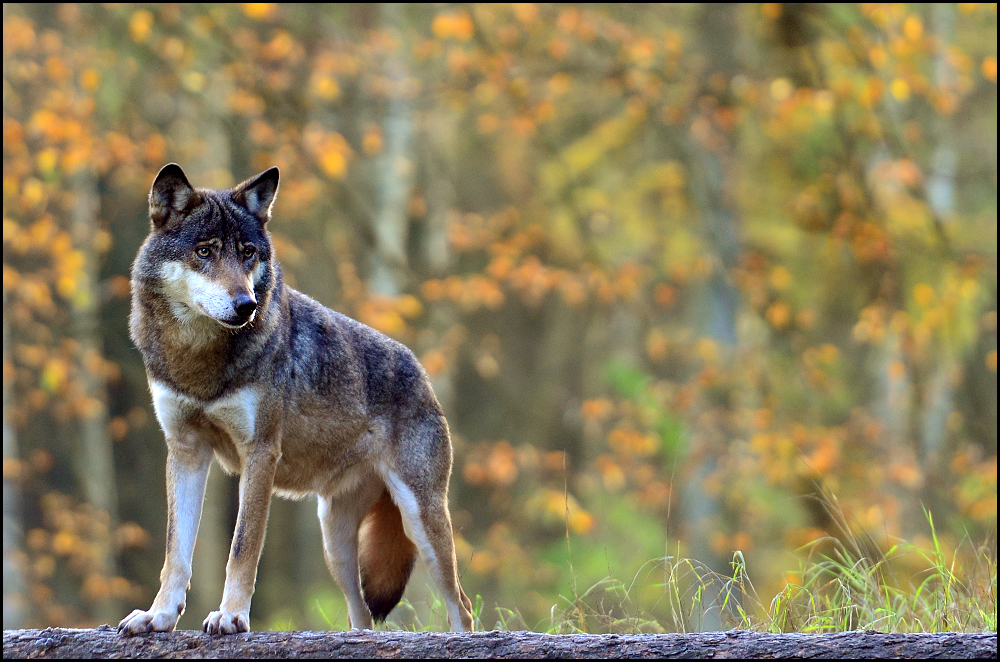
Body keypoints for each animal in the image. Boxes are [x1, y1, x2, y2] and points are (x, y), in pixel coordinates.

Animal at [117, 163, 476, 636]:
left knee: (462, 606)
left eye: (248, 253)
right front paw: (157, 617)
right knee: (362, 616)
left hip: (420, 520)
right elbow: (175, 553)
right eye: (205, 251)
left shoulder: (261, 453)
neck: (198, 357)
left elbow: (243, 547)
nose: (247, 305)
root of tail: (420, 372)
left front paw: (231, 615)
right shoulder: (185, 451)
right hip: (335, 544)